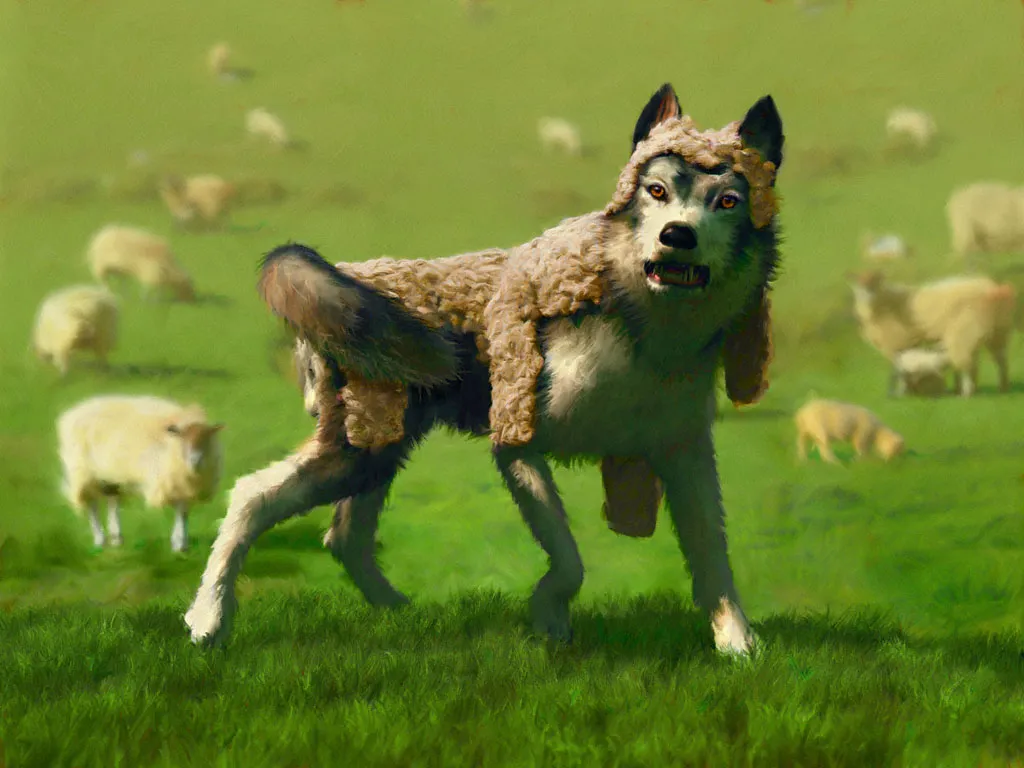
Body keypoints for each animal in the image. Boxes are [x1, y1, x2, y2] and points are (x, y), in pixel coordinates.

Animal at [57, 395, 224, 552]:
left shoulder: (182, 485)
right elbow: (180, 511)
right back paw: (100, 540)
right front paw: (178, 544)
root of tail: (73, 412)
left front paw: (182, 545)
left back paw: (116, 539)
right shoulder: (168, 481)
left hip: (110, 475)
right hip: (82, 471)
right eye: (182, 437)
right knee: (92, 505)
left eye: (206, 438)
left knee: (112, 502)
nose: (195, 460)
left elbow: (183, 512)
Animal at [184, 83, 784, 655]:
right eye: (656, 191)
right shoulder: (516, 445)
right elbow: (569, 561)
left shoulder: (685, 456)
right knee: (252, 496)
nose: (677, 236)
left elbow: (713, 561)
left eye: (727, 200)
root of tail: (350, 271)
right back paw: (208, 621)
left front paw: (737, 644)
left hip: (380, 452)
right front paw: (549, 620)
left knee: (343, 537)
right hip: (355, 453)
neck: (644, 336)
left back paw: (403, 613)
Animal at [850, 270, 1017, 397]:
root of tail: (992, 286)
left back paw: (967, 392)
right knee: (1001, 359)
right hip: (999, 330)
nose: (867, 296)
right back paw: (1002, 387)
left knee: (966, 363)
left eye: (875, 283)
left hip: (964, 329)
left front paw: (902, 391)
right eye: (858, 285)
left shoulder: (898, 342)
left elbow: (899, 368)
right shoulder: (911, 343)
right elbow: (908, 363)